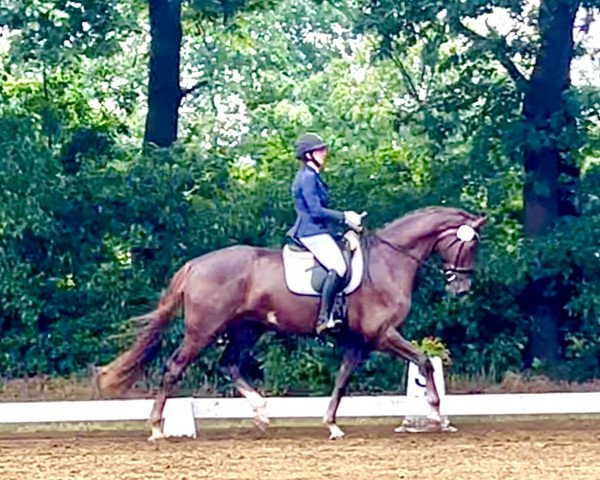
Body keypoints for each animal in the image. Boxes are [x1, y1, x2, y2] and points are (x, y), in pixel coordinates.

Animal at [95, 205, 488, 438]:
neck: (390, 262)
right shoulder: (382, 334)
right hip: (202, 330)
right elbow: (424, 362)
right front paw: (438, 415)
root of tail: (195, 265)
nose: (462, 289)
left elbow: (342, 380)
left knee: (229, 365)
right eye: (469, 245)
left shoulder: (359, 342)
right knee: (174, 367)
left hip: (247, 329)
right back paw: (157, 428)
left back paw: (261, 412)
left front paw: (331, 425)